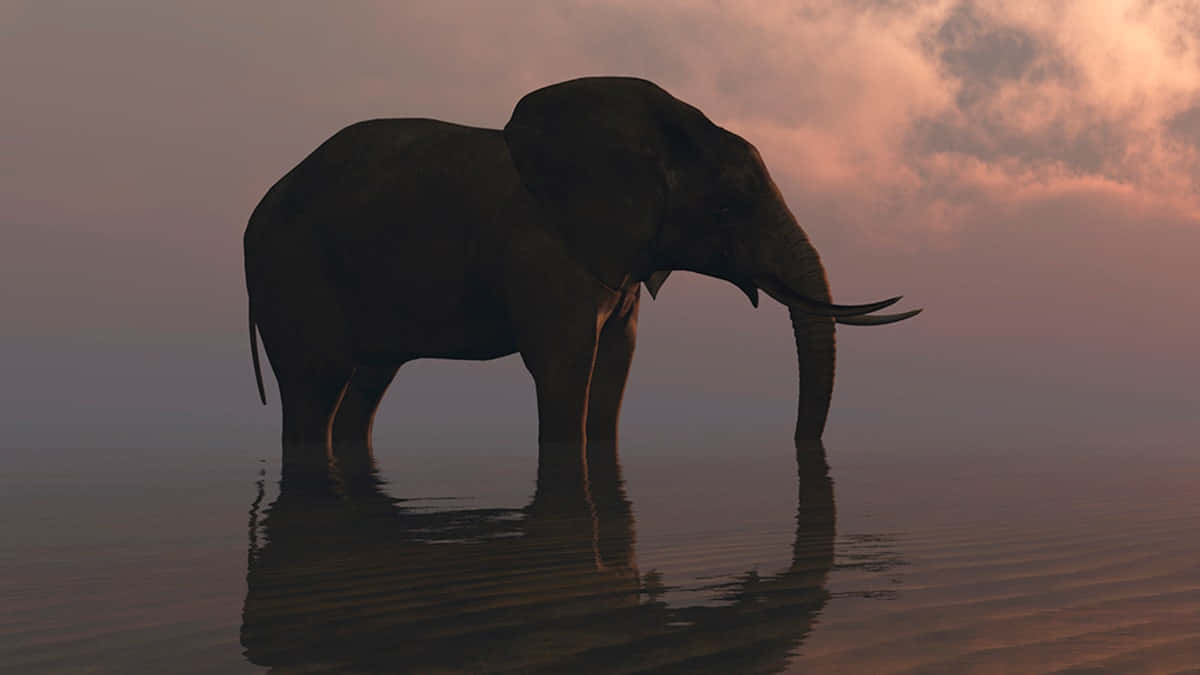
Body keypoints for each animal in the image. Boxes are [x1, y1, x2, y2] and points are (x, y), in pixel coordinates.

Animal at [243, 76, 919, 479]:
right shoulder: (548, 254)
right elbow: (566, 362)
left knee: (365, 384)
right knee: (315, 388)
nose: (802, 448)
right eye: (728, 209)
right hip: (292, 273)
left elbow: (617, 362)